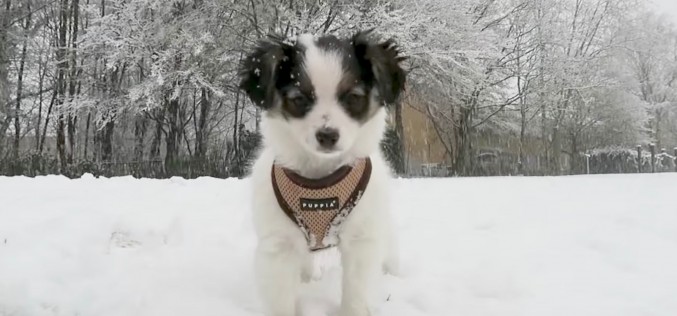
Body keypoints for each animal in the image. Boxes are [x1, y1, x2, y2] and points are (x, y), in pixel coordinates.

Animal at [239, 30, 404, 316]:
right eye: (299, 99)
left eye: (353, 97)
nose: (327, 135)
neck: (319, 178)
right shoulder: (279, 245)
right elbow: (281, 298)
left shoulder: (362, 239)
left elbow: (356, 292)